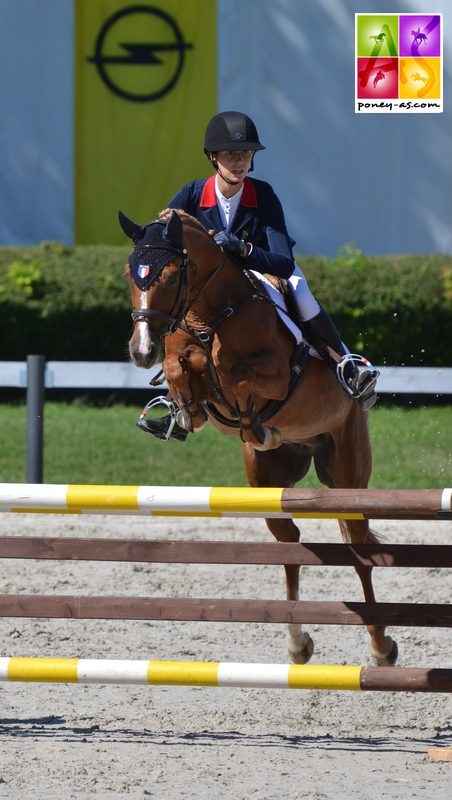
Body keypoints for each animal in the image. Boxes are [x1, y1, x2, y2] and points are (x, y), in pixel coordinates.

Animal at [122, 203, 398, 664]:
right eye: (131, 273)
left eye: (173, 276)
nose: (142, 352)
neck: (208, 314)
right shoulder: (182, 359)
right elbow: (182, 370)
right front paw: (183, 410)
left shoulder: (276, 374)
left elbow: (234, 372)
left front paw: (241, 404)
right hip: (266, 480)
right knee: (290, 544)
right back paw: (298, 643)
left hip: (347, 472)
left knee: (358, 550)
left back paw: (381, 649)